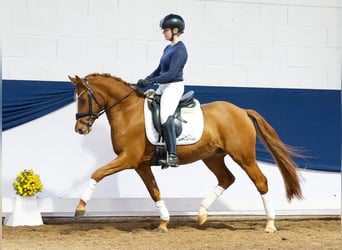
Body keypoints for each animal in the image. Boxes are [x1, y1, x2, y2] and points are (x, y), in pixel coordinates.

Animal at [69, 73, 302, 233]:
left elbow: (97, 173)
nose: (80, 129)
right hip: (213, 157)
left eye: (83, 99)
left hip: (243, 156)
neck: (127, 111)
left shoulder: (128, 159)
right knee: (226, 178)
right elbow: (154, 191)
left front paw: (80, 208)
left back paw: (270, 224)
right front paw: (164, 223)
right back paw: (201, 214)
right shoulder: (140, 165)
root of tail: (242, 111)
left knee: (260, 181)